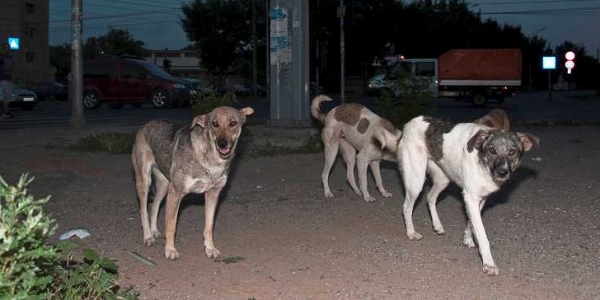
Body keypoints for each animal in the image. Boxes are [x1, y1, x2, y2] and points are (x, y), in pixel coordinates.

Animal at [131, 106, 253, 260]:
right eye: (214, 124)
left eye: (233, 123)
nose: (222, 143)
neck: (211, 160)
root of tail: (146, 124)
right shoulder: (176, 193)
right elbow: (171, 226)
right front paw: (170, 250)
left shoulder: (212, 195)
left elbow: (209, 227)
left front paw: (210, 248)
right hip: (145, 182)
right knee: (143, 209)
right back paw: (148, 236)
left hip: (164, 186)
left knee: (154, 205)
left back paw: (154, 231)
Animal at [398, 116, 540, 276]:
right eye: (491, 150)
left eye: (512, 152)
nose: (502, 172)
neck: (482, 164)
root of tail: (410, 122)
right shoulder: (471, 197)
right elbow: (482, 234)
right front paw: (489, 263)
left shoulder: (480, 198)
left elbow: (471, 222)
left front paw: (467, 238)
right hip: (416, 181)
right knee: (406, 206)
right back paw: (411, 232)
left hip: (443, 179)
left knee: (430, 197)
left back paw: (437, 225)